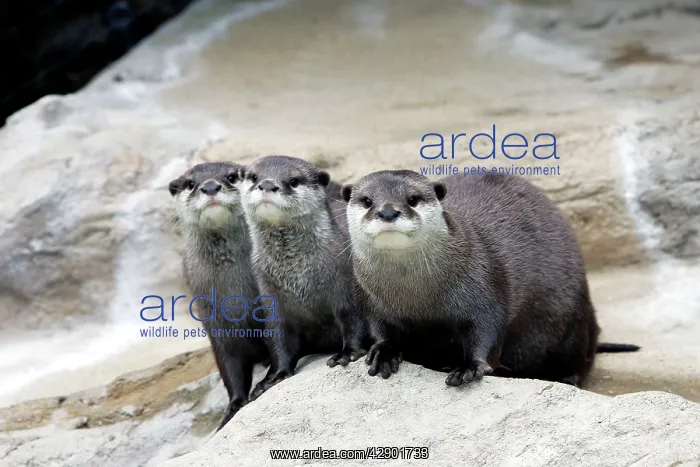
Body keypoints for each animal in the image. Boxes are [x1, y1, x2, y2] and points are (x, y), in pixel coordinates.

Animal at [168, 162, 268, 429]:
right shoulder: (216, 325)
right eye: (190, 183)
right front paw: (233, 407)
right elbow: (230, 368)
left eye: (232, 177)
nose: (211, 186)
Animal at [239, 155, 368, 400]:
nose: (267, 185)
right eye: (254, 176)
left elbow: (353, 317)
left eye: (293, 180)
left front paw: (348, 353)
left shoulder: (344, 279)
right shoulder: (270, 294)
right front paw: (276, 376)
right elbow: (279, 337)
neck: (298, 276)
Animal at [338, 170, 638, 387]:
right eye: (367, 201)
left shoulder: (483, 283)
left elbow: (488, 329)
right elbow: (381, 329)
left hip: (572, 319)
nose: (388, 211)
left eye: (412, 199)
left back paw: (567, 378)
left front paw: (469, 367)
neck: (417, 299)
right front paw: (383, 353)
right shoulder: (370, 299)